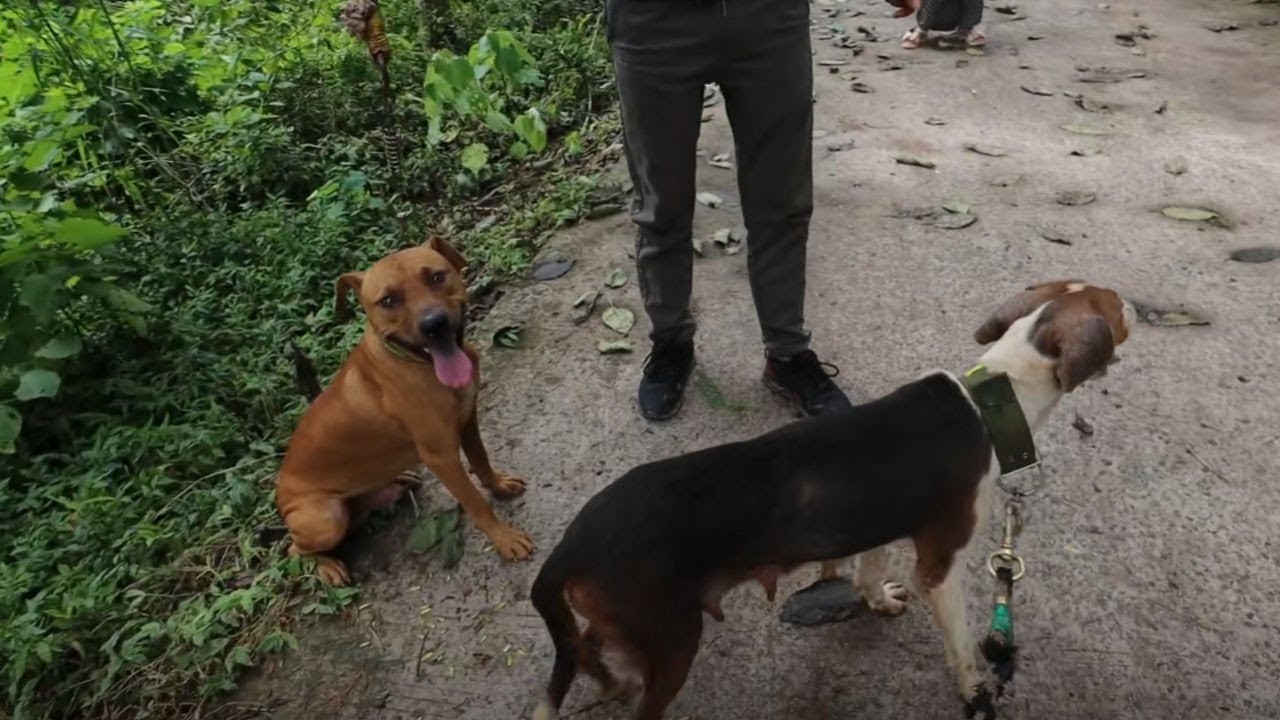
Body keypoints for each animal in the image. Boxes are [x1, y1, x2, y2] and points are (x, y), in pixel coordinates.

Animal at [280, 235, 535, 584]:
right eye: (388, 300)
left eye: (436, 277)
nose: (434, 324)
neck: (416, 364)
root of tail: (280, 499)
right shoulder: (441, 456)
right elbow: (475, 503)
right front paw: (504, 538)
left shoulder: (468, 420)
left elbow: (481, 461)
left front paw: (498, 485)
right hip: (326, 517)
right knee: (294, 550)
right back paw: (328, 566)